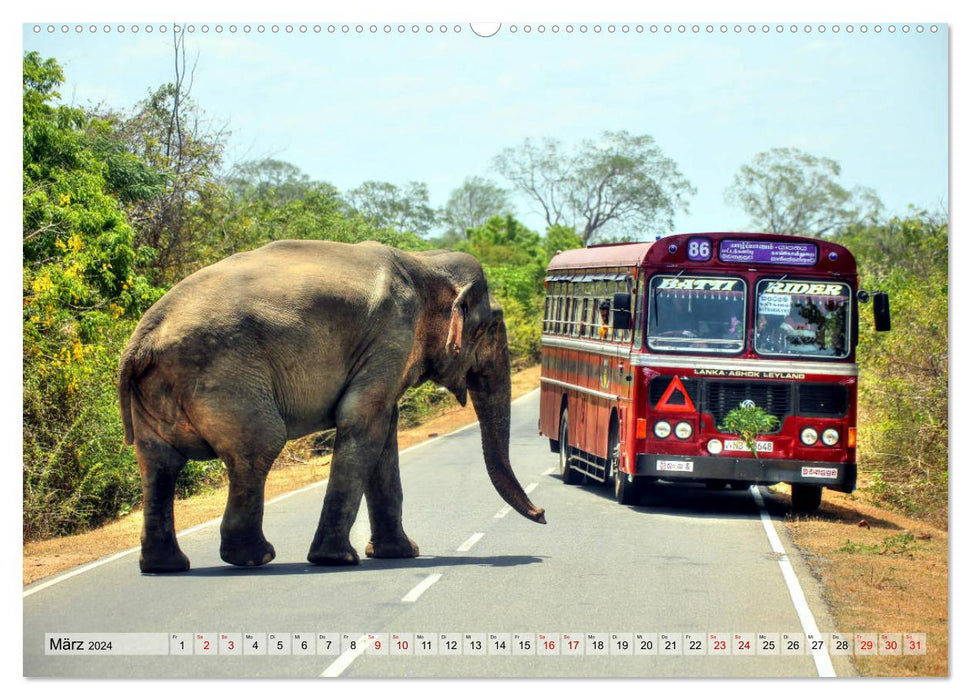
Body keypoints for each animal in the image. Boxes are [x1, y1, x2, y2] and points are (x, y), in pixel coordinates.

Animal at [119, 241, 548, 576]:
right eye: (492, 326)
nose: (543, 514)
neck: (424, 262)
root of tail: (141, 338)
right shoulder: (391, 333)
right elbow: (363, 422)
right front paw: (339, 559)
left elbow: (383, 431)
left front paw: (400, 553)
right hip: (225, 373)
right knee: (259, 444)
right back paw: (256, 558)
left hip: (164, 388)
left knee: (158, 463)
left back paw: (165, 566)